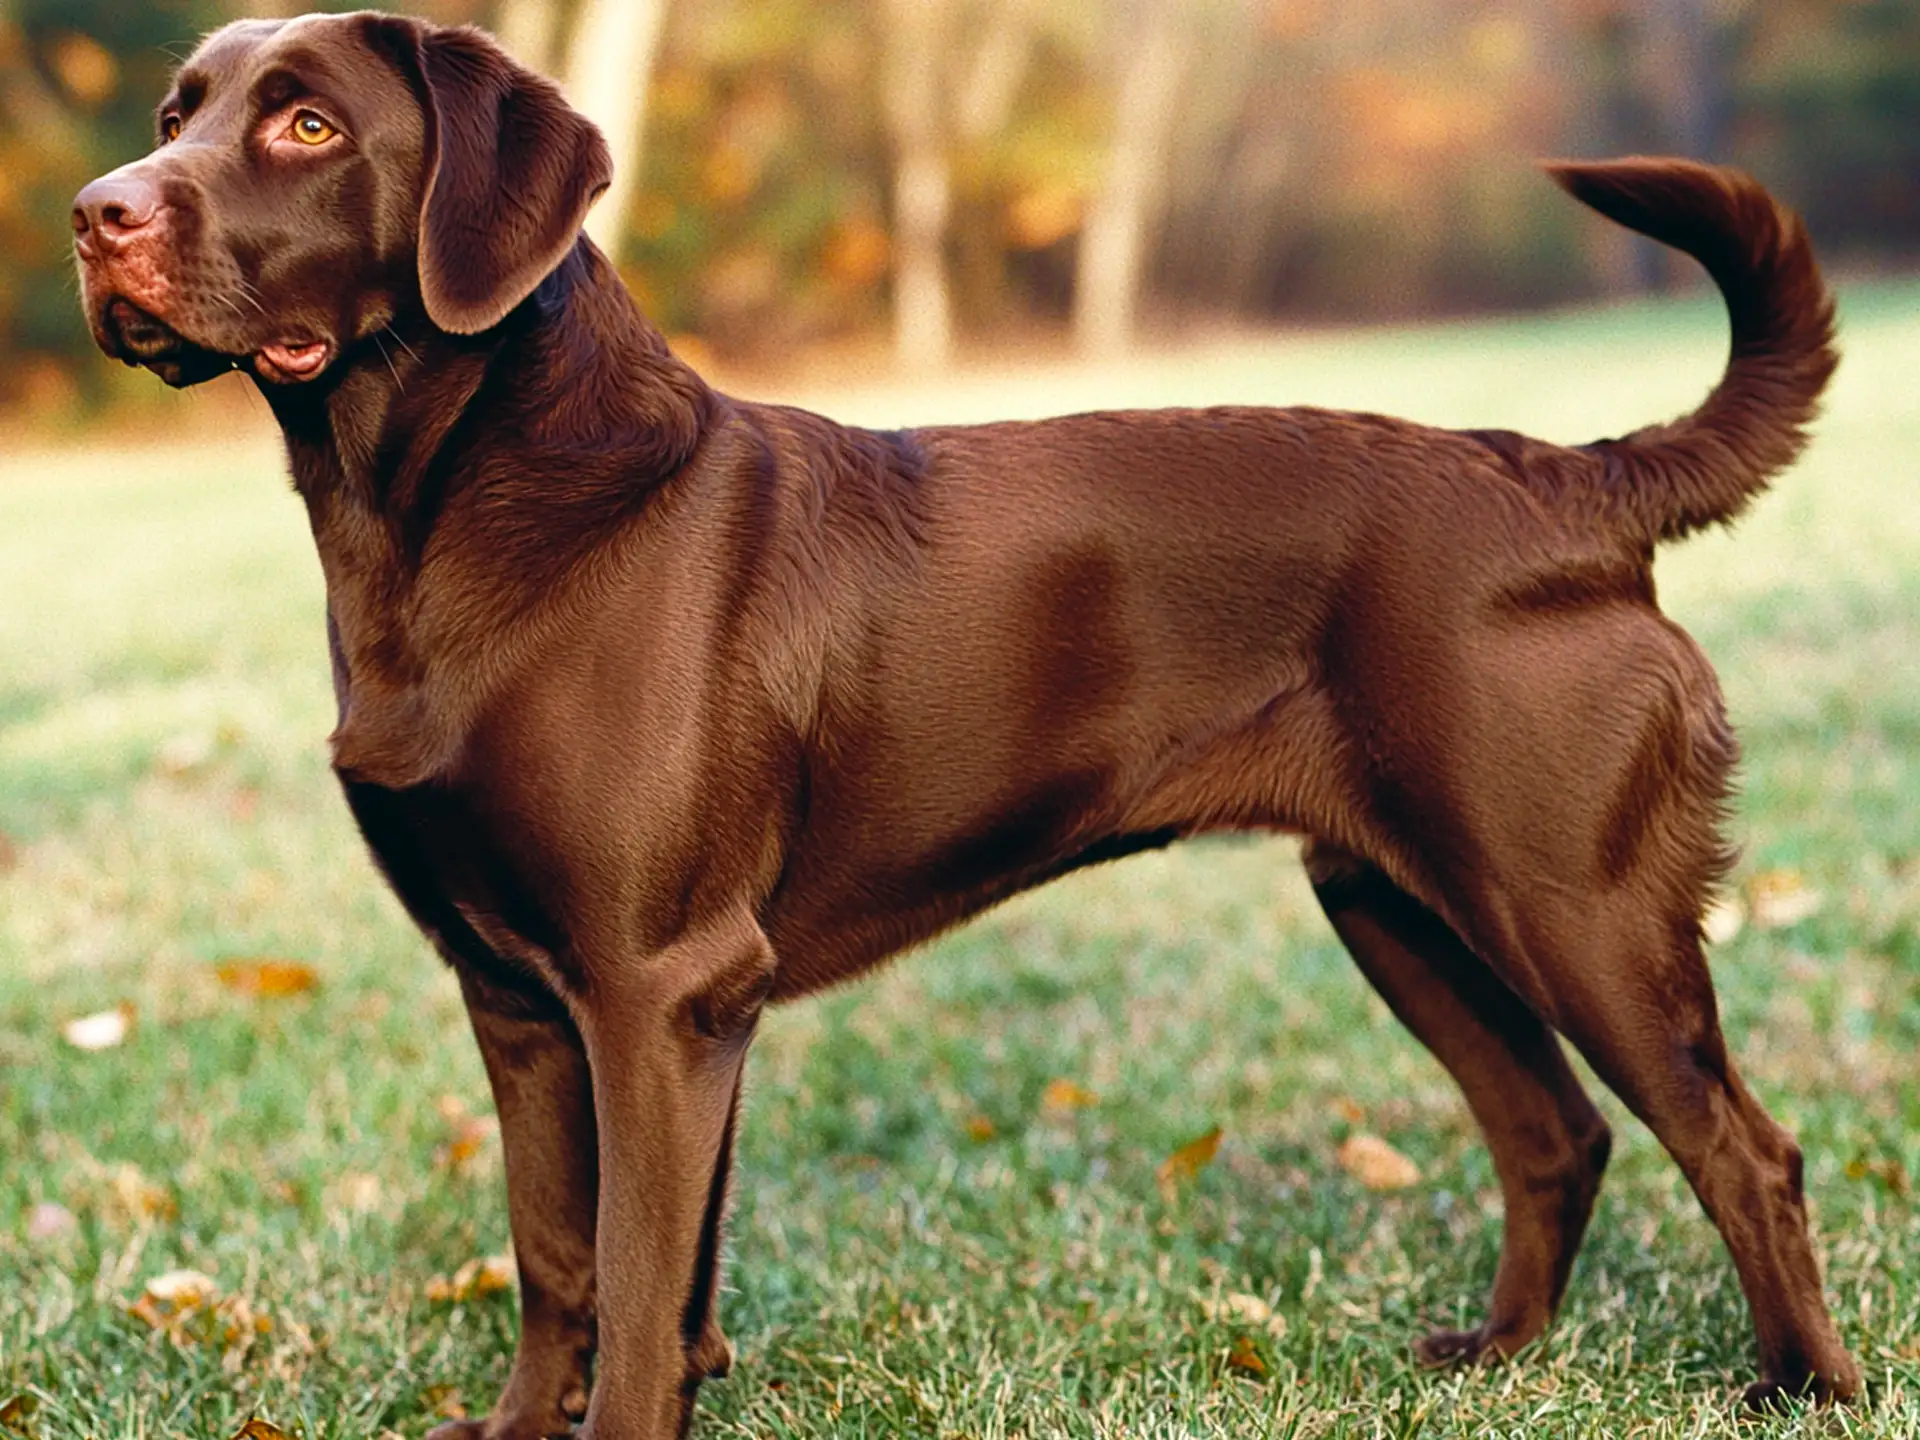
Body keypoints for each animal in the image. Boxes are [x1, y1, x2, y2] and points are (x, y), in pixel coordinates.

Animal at [74, 8, 1858, 1436]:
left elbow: (639, 1284)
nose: (97, 216)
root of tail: (1568, 482)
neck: (441, 516)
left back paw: (1800, 1391)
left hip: (1569, 903)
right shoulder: (524, 993)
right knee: (1556, 1133)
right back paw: (1497, 1357)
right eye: (179, 109)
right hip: (1398, 901)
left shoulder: (660, 986)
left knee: (1743, 1150)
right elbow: (563, 1257)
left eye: (307, 124)